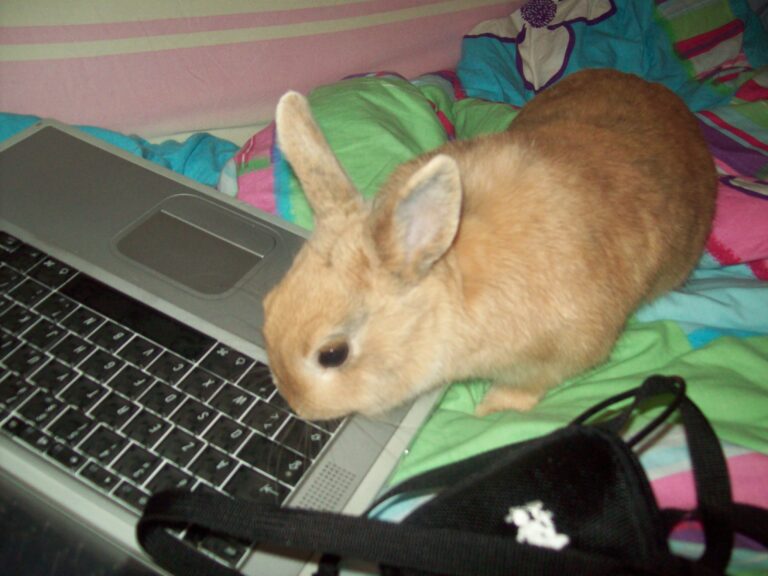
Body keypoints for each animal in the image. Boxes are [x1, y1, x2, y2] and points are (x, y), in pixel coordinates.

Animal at [262, 68, 717, 420]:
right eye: (268, 303)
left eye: (332, 354)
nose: (297, 407)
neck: (453, 272)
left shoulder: (556, 357)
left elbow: (527, 387)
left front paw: (489, 409)